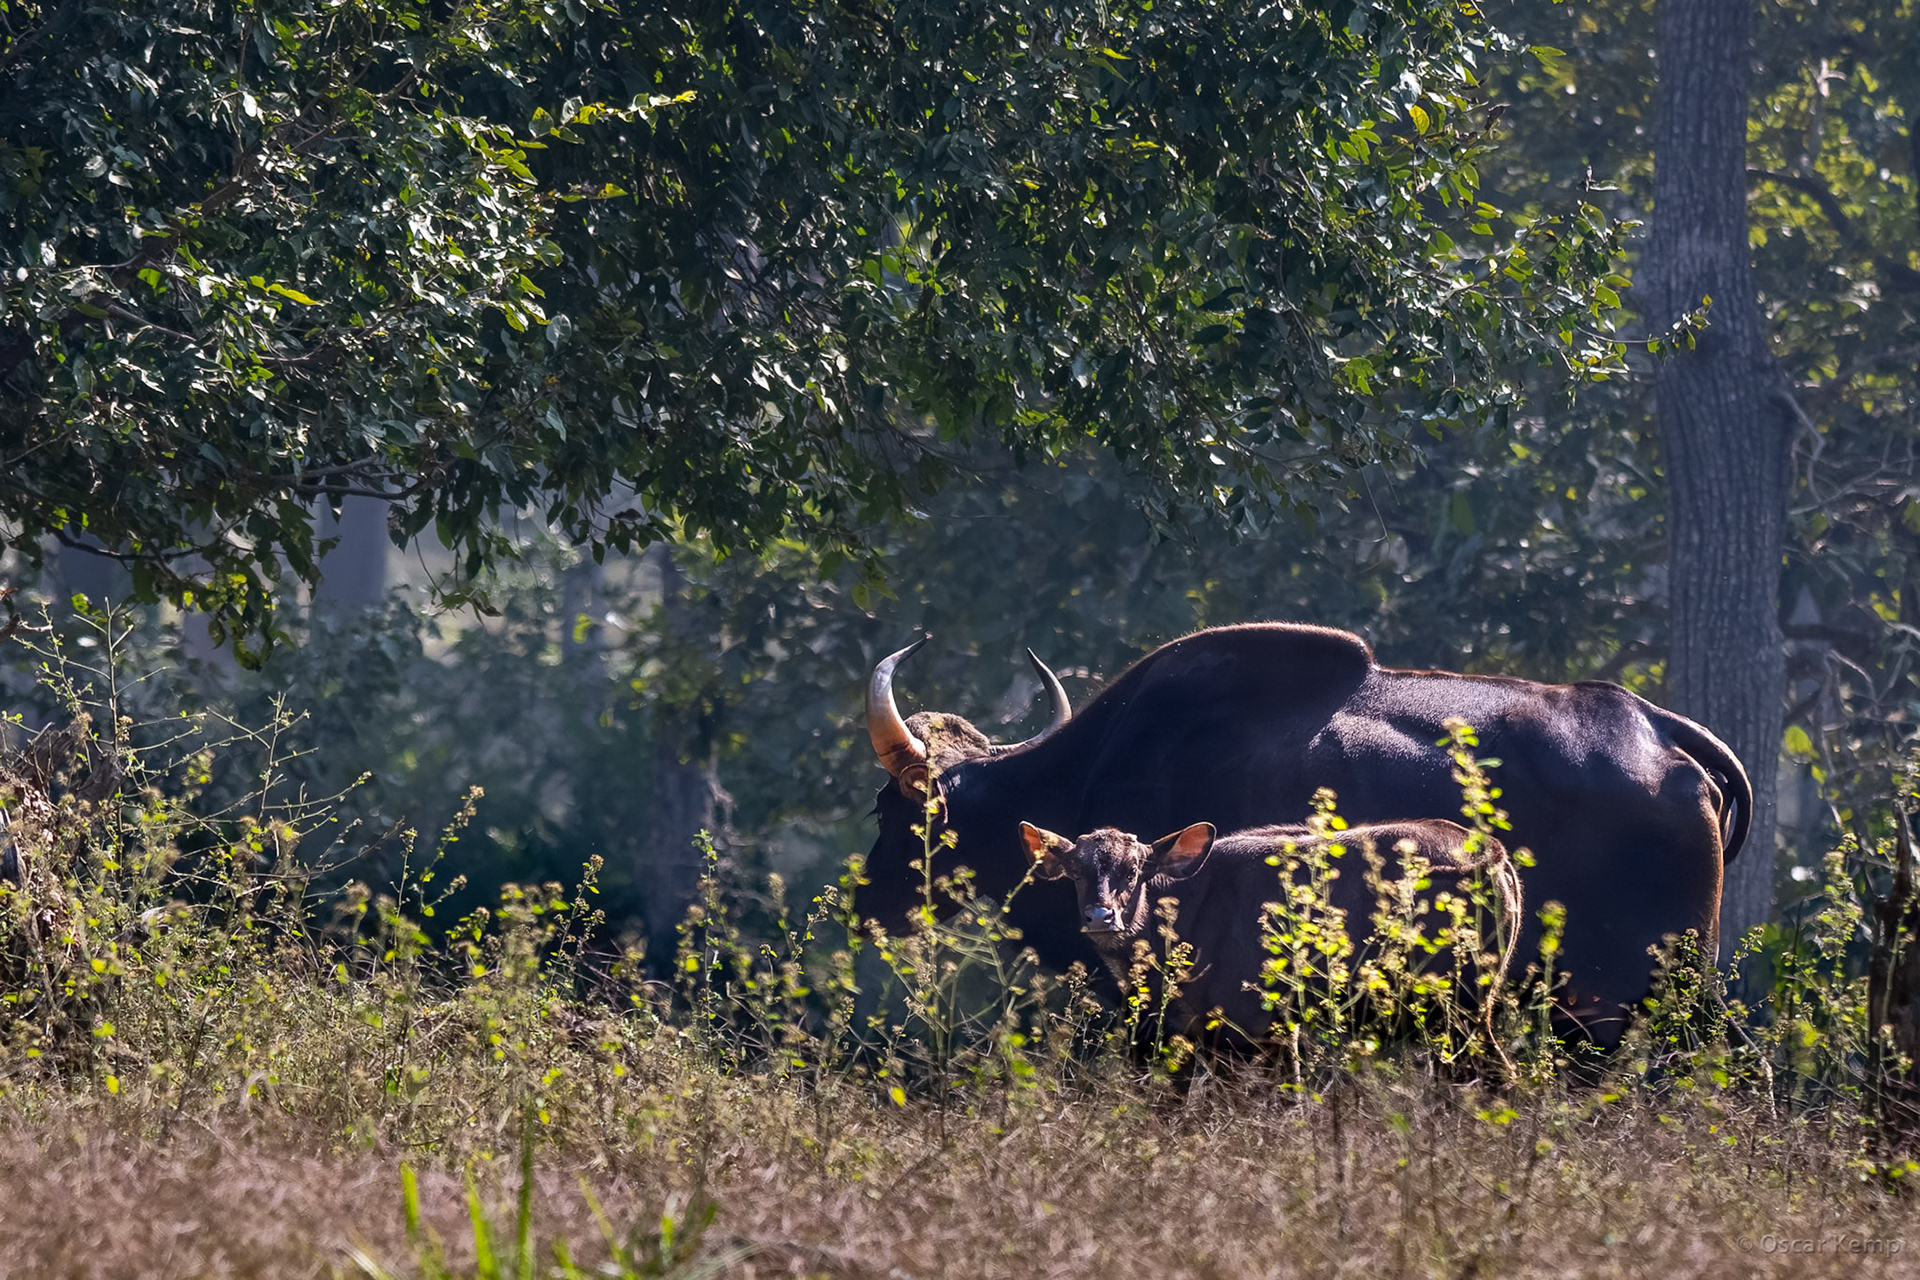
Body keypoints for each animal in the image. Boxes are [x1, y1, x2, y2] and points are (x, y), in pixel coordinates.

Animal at [1020, 818, 1521, 1051]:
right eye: (1076, 872)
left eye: (1134, 870)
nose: (1101, 916)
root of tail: (1490, 852)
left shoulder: (1253, 1029)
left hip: (1458, 1013)